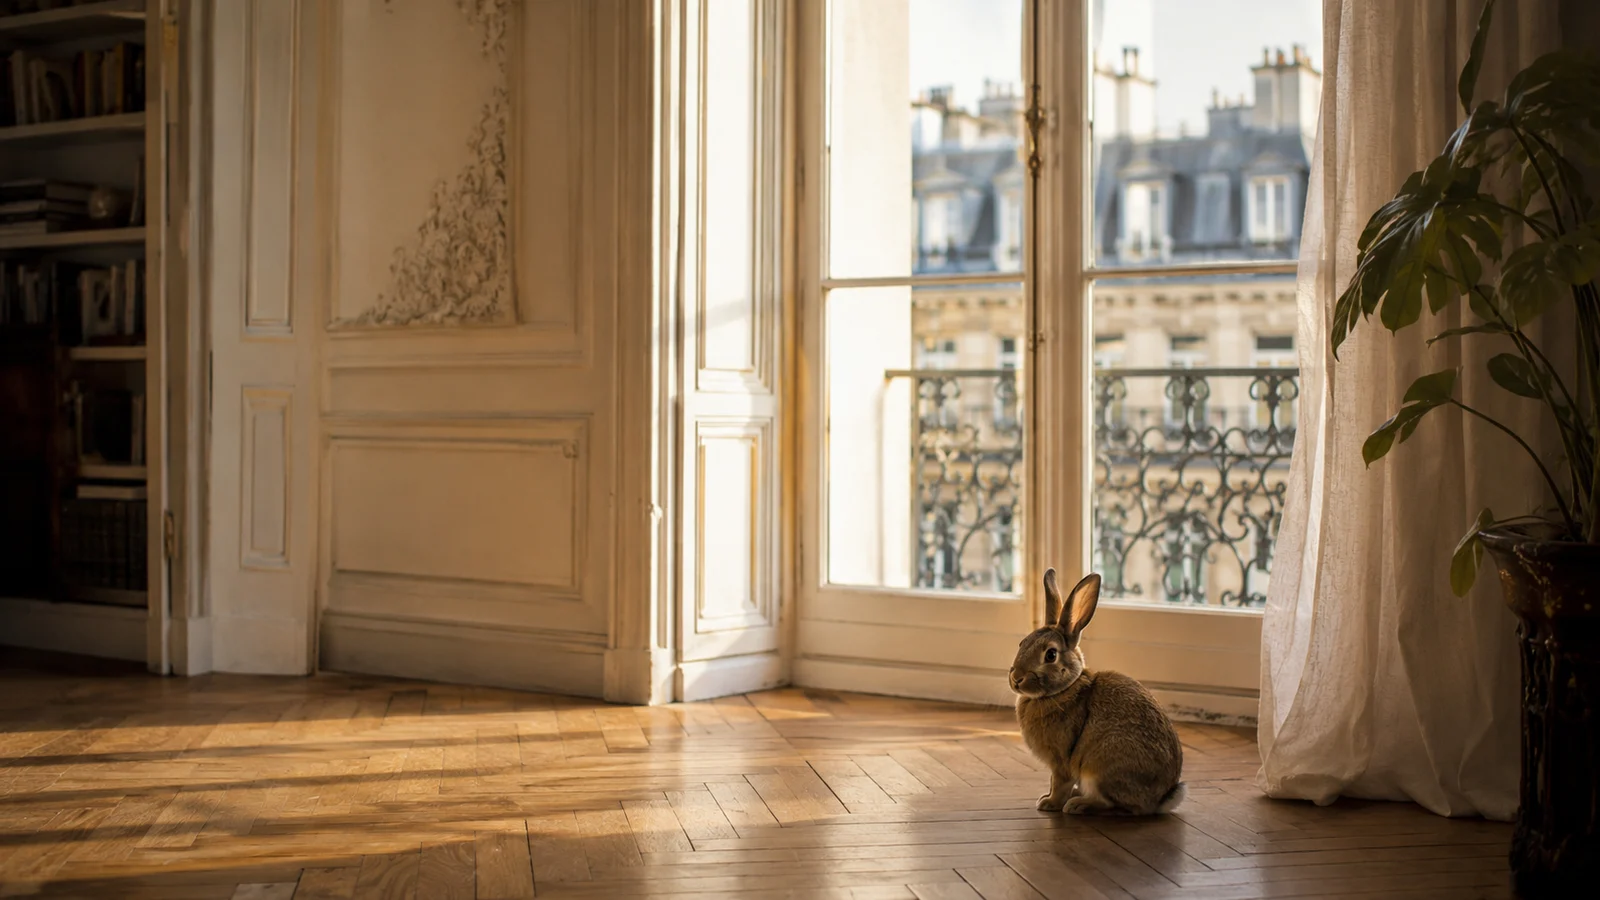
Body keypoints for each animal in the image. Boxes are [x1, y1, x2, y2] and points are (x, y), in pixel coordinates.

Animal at [1009, 567, 1186, 815]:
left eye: (1050, 655)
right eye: (1022, 643)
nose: (1016, 679)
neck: (1063, 689)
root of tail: (1161, 800)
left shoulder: (1061, 760)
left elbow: (1059, 782)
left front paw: (1049, 803)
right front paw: (1046, 798)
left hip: (1099, 766)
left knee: (1113, 804)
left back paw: (1077, 804)